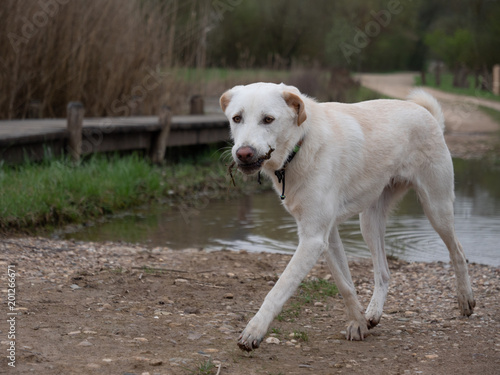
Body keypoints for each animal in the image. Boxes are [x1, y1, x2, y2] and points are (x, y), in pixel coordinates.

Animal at [220, 83, 476, 352]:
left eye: (268, 119)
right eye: (236, 118)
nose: (243, 153)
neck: (301, 143)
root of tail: (428, 115)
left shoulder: (313, 239)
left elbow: (279, 288)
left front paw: (254, 330)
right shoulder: (325, 236)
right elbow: (345, 284)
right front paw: (358, 323)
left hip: (436, 207)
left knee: (458, 252)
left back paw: (465, 299)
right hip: (369, 223)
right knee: (383, 272)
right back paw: (373, 313)